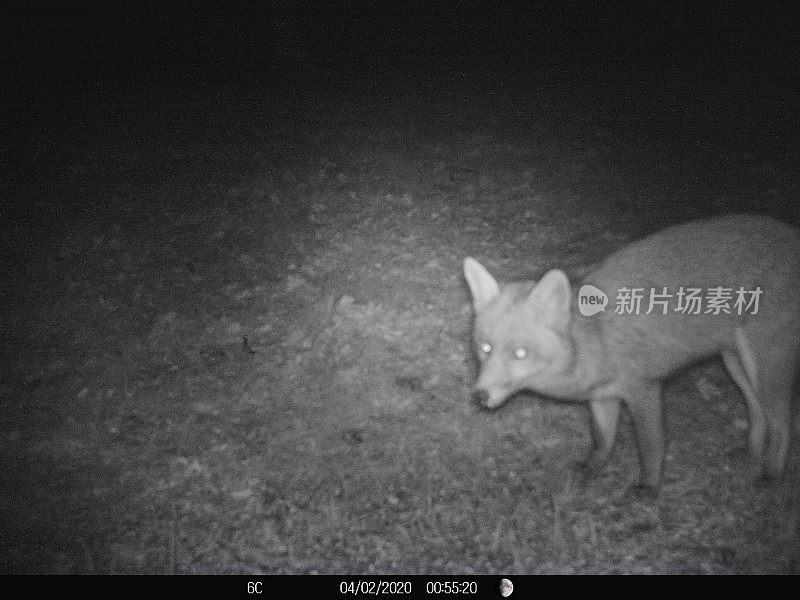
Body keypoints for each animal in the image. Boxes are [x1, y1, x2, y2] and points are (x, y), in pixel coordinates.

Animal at [466, 213, 796, 494]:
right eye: (485, 348)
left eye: (521, 353)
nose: (479, 396)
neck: (597, 339)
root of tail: (787, 232)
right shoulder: (603, 396)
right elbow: (602, 440)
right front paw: (592, 471)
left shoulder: (644, 389)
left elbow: (650, 444)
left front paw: (648, 488)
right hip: (735, 363)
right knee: (758, 412)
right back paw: (751, 453)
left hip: (763, 367)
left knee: (784, 423)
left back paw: (771, 476)